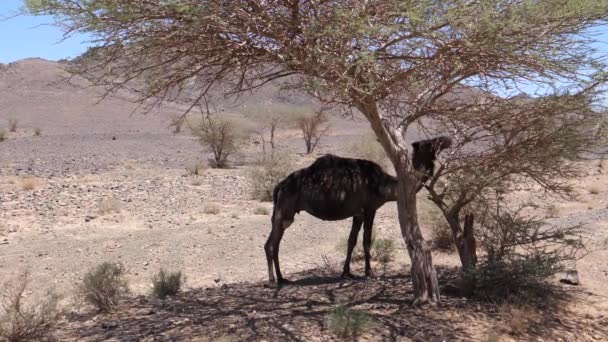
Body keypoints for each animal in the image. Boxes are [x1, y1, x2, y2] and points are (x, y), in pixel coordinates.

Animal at [266, 135, 452, 284]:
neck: (385, 185)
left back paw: (282, 278)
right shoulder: (370, 209)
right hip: (285, 210)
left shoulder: (358, 213)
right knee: (270, 244)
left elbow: (351, 241)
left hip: (284, 213)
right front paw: (369, 272)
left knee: (275, 243)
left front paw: (346, 273)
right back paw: (273, 280)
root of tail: (279, 187)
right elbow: (366, 241)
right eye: (431, 143)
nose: (447, 140)